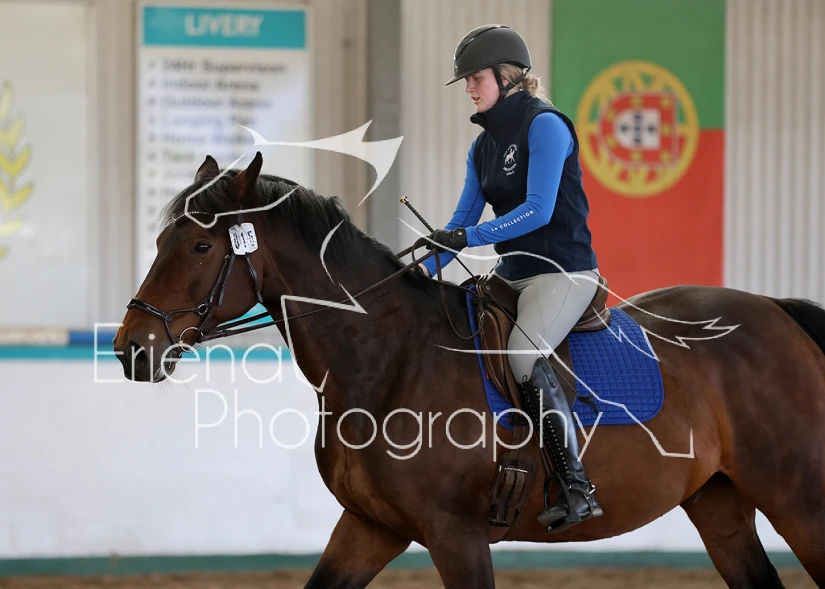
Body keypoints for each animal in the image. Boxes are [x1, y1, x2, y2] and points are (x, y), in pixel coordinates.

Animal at [114, 153, 825, 588]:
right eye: (163, 240)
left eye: (200, 245)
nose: (132, 349)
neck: (389, 360)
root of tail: (777, 313)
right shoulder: (371, 527)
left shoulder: (455, 536)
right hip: (720, 502)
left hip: (799, 500)